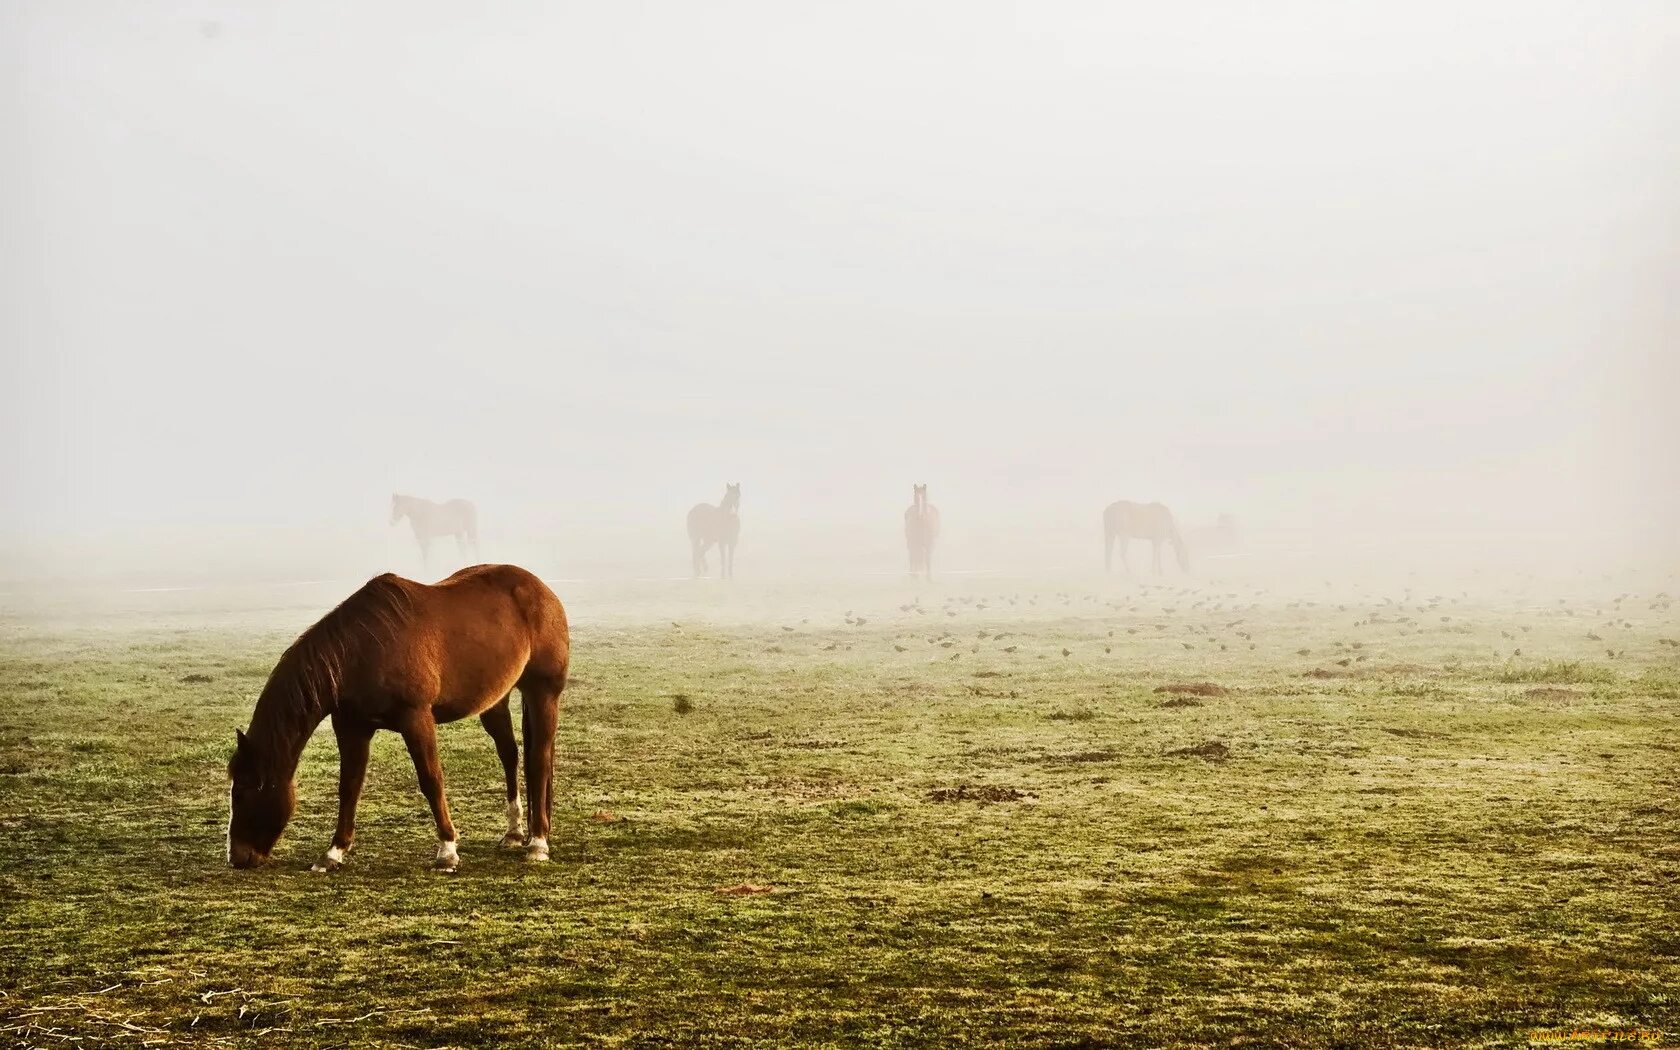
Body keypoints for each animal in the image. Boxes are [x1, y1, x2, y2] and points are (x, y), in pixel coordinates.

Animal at [223, 564, 571, 866]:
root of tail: (541, 590)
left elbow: (431, 779)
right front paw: (334, 853)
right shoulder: (351, 727)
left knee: (539, 760)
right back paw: (515, 833)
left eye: (241, 793)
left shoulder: (416, 719)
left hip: (543, 693)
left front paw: (447, 850)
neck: (359, 650)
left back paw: (538, 843)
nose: (236, 857)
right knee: (510, 755)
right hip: (495, 700)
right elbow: (349, 787)